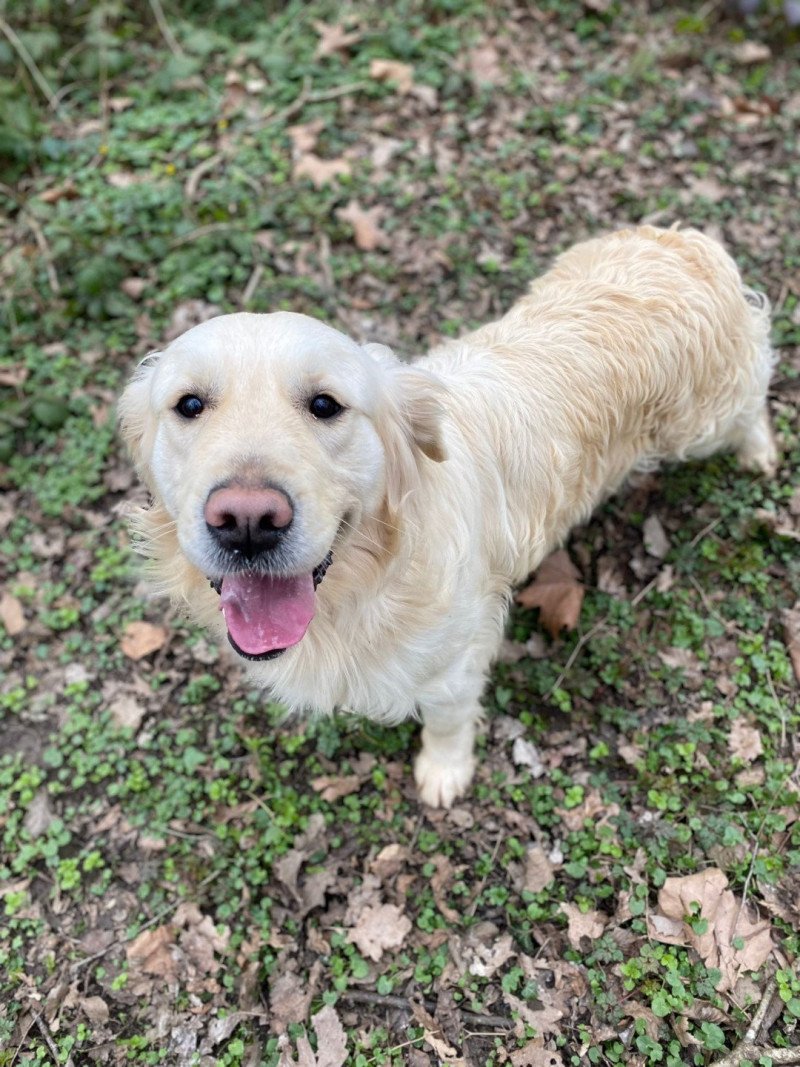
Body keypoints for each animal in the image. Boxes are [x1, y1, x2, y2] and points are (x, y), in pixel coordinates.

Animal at [118, 227, 776, 806]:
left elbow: (448, 719)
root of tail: (682, 242)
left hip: (705, 420)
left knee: (752, 400)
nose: (248, 520)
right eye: (190, 405)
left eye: (326, 404)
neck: (363, 588)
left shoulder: (457, 658)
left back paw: (761, 450)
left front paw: (444, 770)